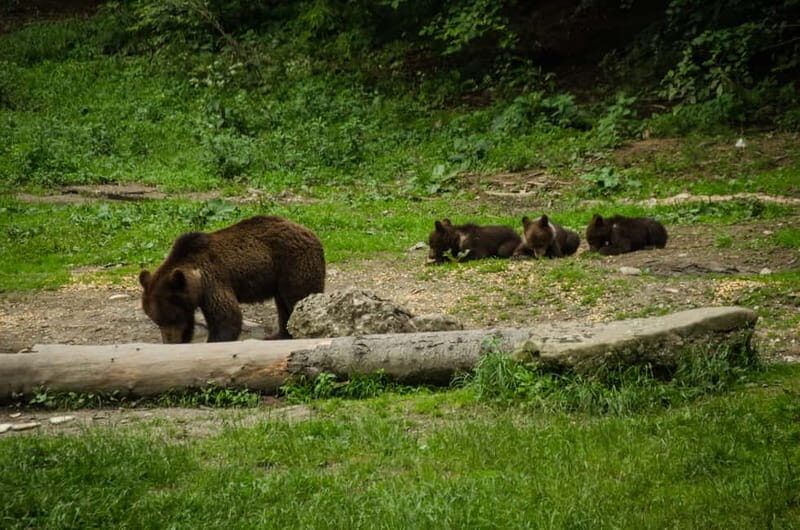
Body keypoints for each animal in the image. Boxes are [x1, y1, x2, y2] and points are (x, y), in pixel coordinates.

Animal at [138, 215, 325, 343]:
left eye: (170, 318)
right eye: (156, 320)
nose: (170, 341)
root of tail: (311, 233)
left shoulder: (213, 280)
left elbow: (227, 317)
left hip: (293, 265)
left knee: (299, 297)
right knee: (283, 305)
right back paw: (278, 335)